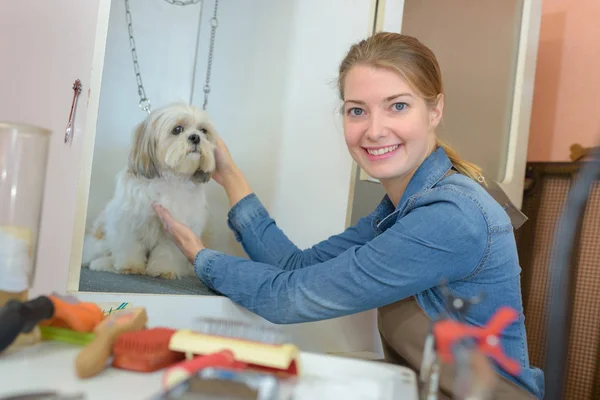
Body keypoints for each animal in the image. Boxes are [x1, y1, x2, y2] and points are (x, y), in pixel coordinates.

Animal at [82, 101, 217, 280]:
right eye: (177, 129)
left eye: (203, 131)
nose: (196, 137)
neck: (170, 179)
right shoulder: (127, 221)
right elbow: (129, 246)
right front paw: (130, 266)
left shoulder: (175, 229)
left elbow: (167, 252)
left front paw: (164, 269)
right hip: (101, 239)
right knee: (98, 255)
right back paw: (102, 263)